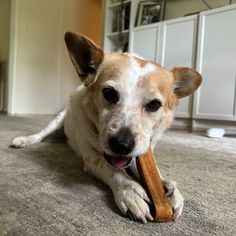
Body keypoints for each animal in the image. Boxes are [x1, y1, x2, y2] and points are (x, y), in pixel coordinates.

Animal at [11, 31, 202, 223]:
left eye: (154, 105)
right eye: (109, 93)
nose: (122, 145)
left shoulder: (139, 154)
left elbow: (150, 170)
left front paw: (165, 186)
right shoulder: (91, 158)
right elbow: (112, 170)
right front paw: (130, 190)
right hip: (57, 120)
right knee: (41, 134)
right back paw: (24, 140)